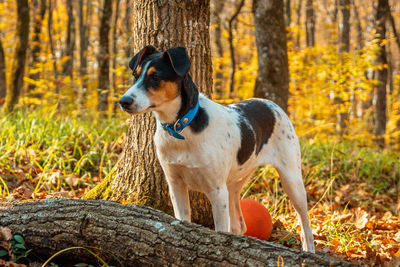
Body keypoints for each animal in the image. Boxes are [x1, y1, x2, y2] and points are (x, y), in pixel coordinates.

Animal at [119, 45, 316, 252]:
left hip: (291, 179)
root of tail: (271, 103)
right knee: (239, 225)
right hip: (234, 183)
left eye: (155, 77)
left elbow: (221, 231)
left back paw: (309, 249)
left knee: (305, 225)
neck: (181, 127)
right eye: (135, 75)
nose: (123, 101)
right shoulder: (175, 184)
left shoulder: (216, 190)